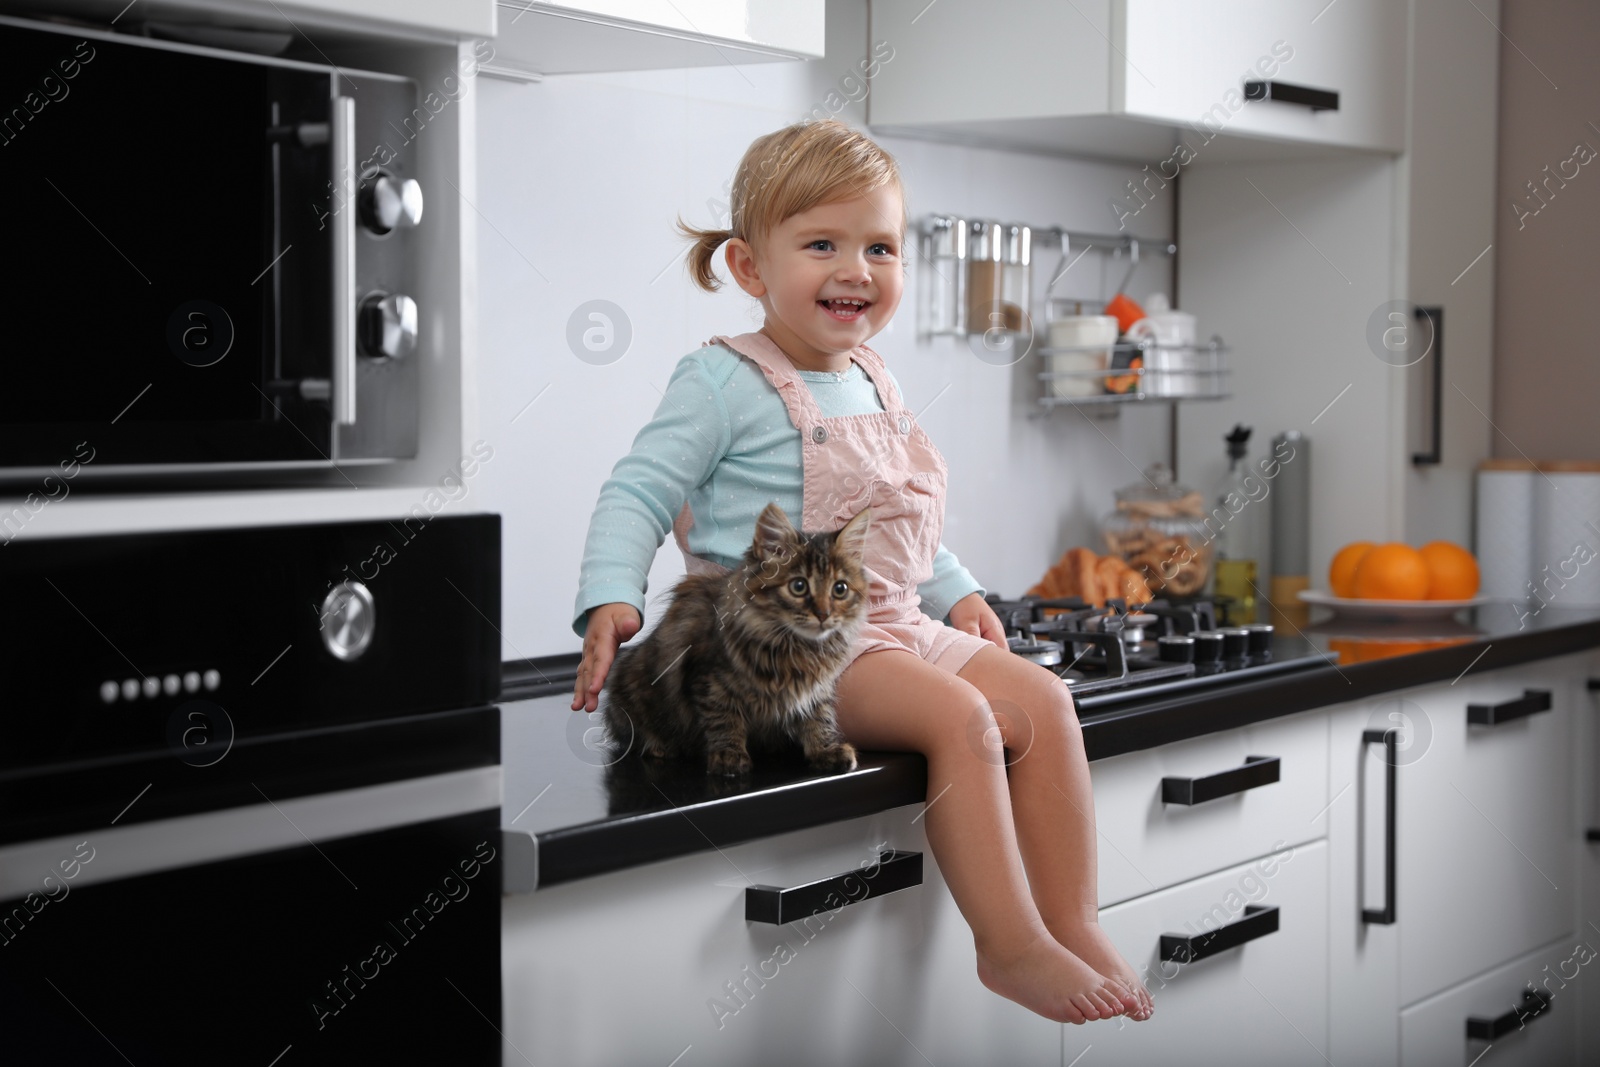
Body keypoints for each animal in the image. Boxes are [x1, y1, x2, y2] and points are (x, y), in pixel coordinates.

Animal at [601, 505, 876, 780]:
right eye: (798, 586)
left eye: (840, 589)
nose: (823, 614)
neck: (796, 646)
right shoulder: (710, 681)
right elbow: (724, 719)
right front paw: (728, 757)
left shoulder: (816, 690)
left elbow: (819, 719)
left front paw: (826, 750)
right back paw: (660, 747)